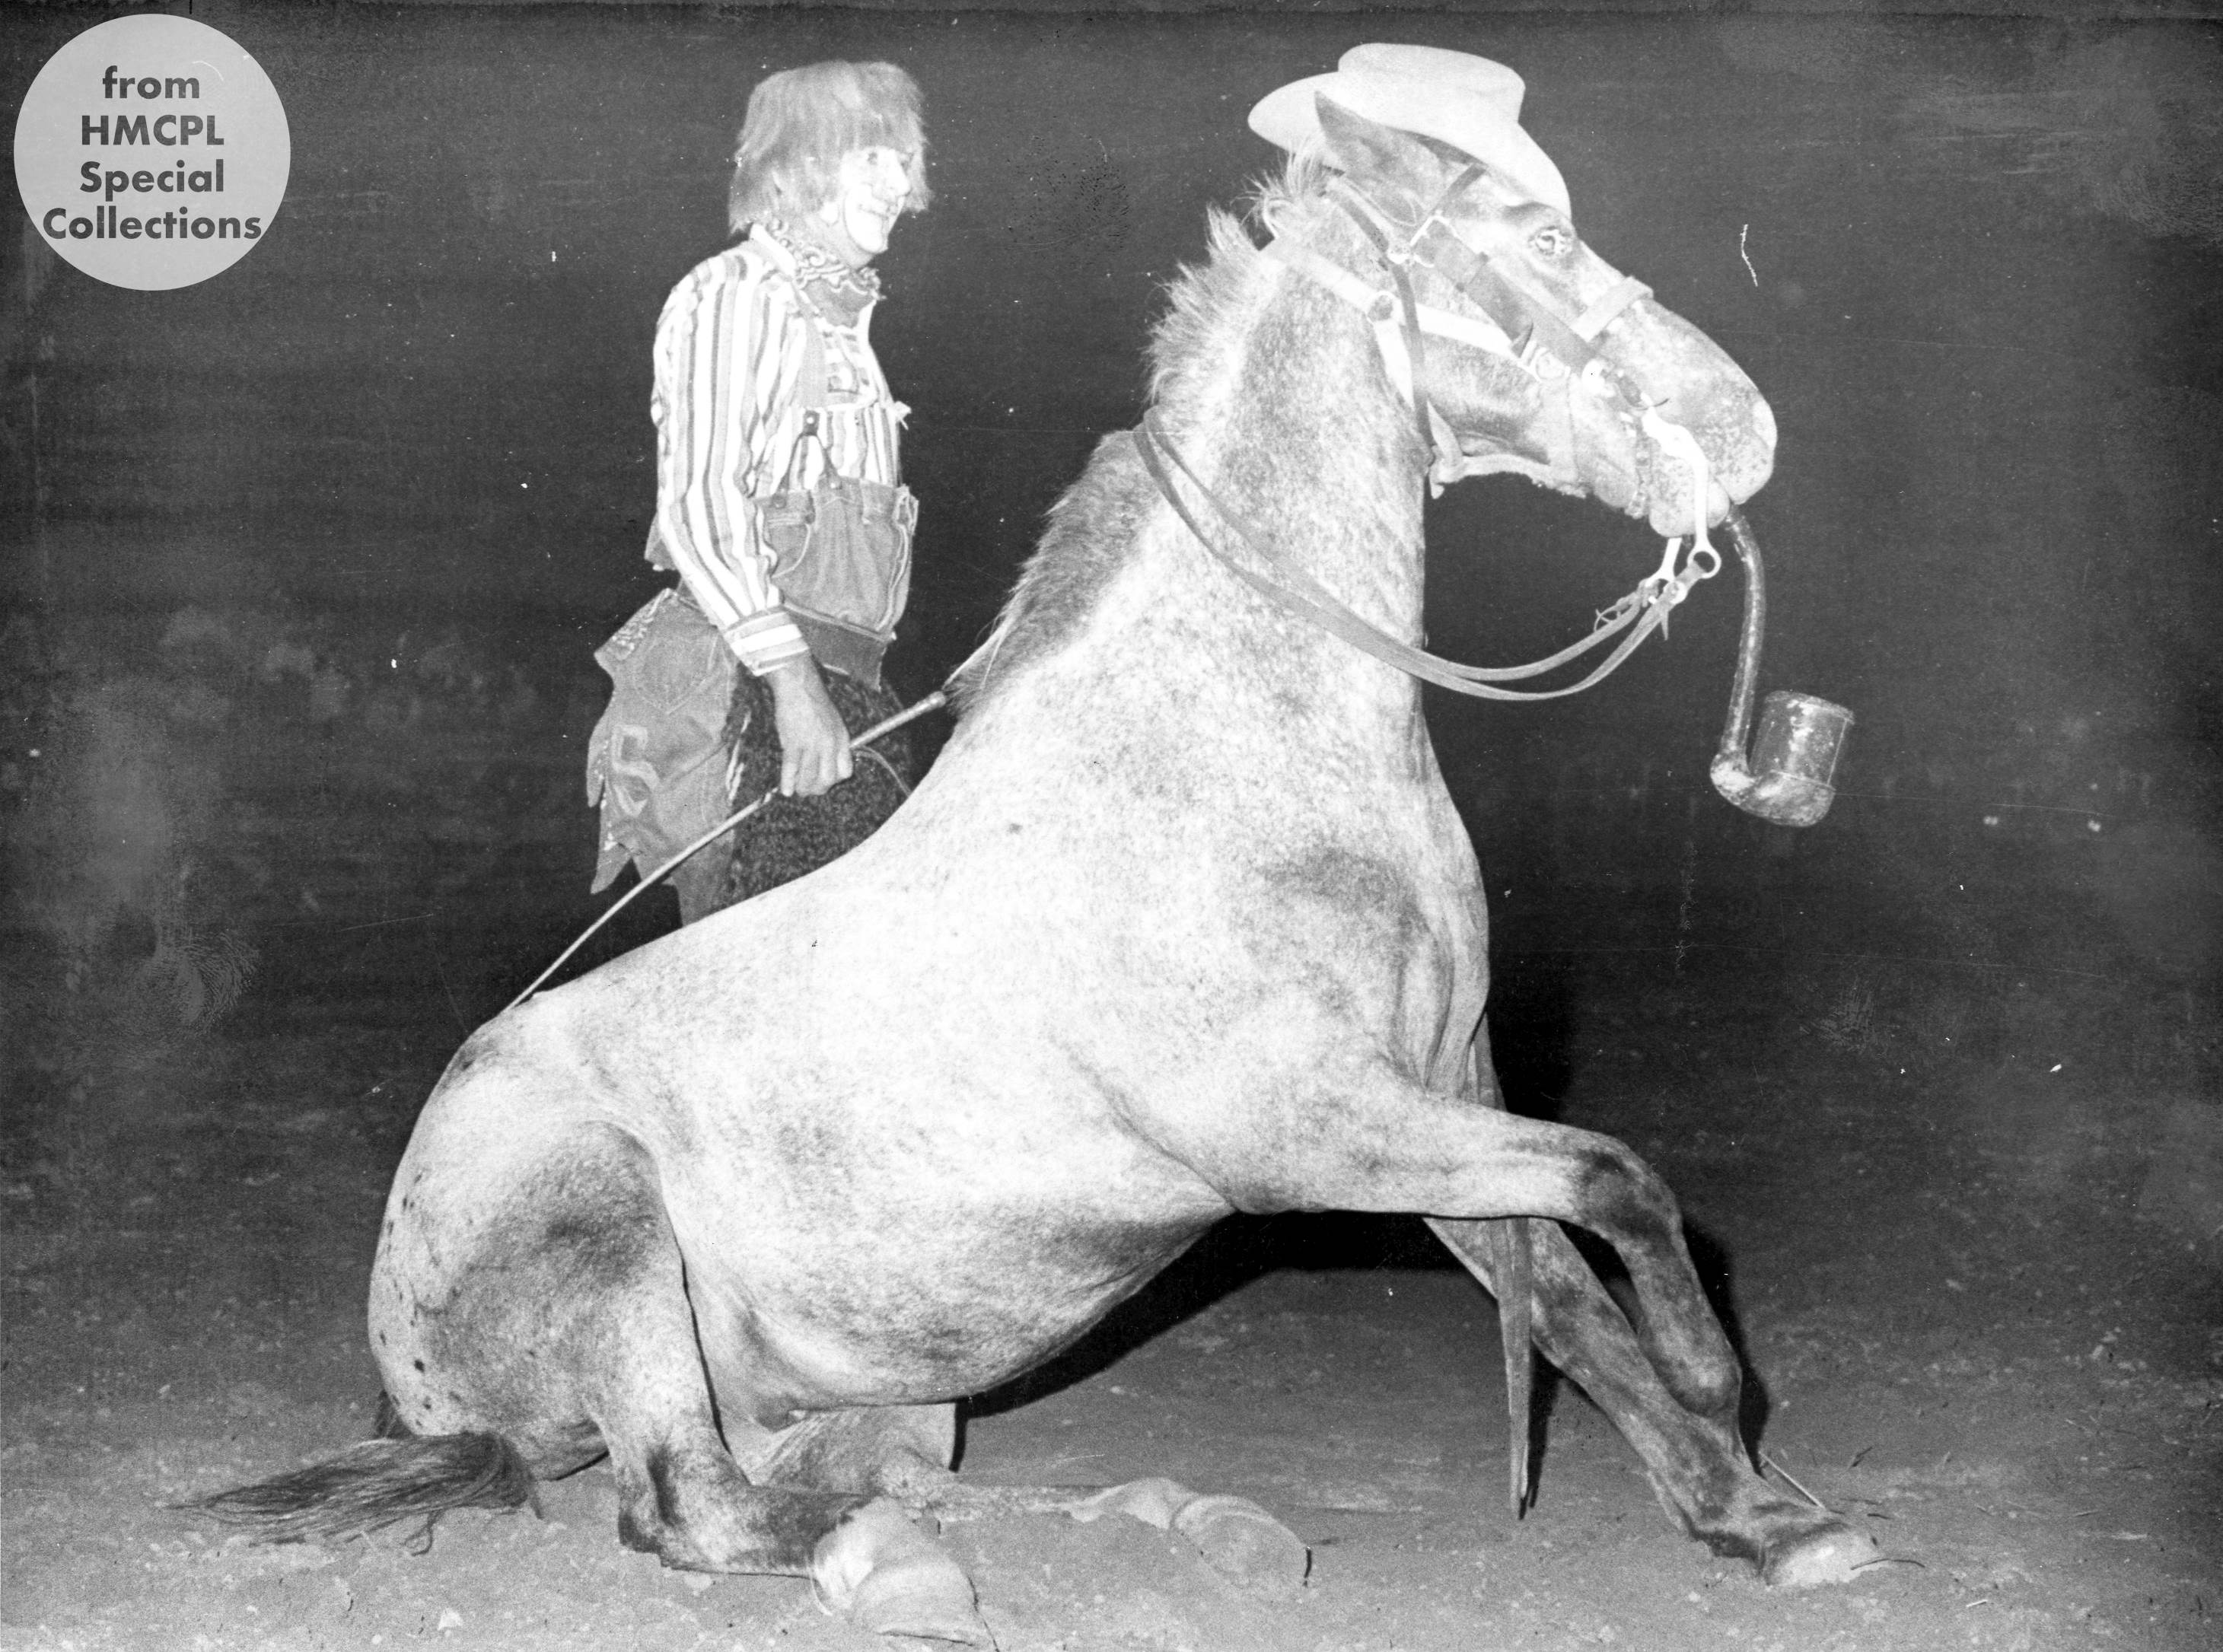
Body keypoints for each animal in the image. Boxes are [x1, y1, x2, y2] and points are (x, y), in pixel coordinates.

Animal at [195, 98, 1879, 1643]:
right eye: (1536, 240)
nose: (1745, 426)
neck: (1227, 756)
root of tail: (404, 1373)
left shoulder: (1444, 1097)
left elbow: (1569, 1302)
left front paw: (1760, 1519)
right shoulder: (1314, 1132)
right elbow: (1619, 1181)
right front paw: (1724, 1391)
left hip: (878, 1388)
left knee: (853, 1476)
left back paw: (1167, 1521)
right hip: (616, 1251)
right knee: (690, 1503)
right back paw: (897, 1550)